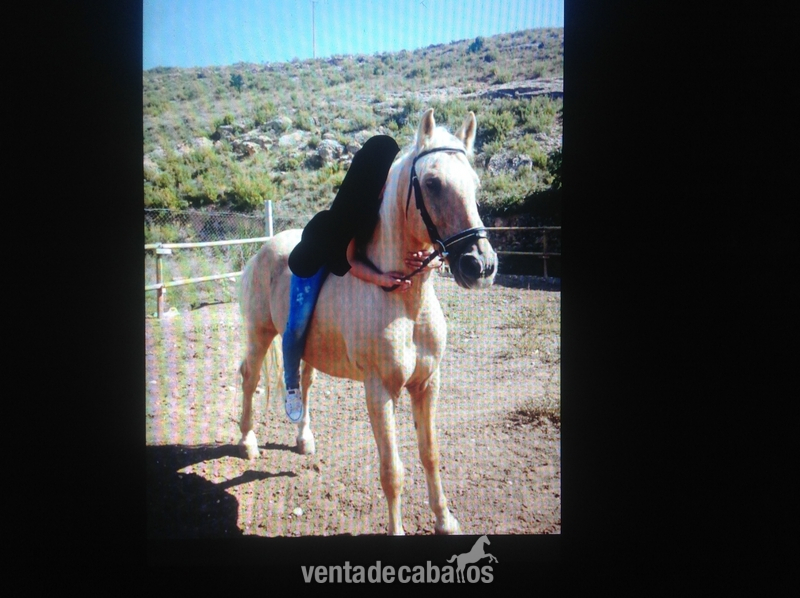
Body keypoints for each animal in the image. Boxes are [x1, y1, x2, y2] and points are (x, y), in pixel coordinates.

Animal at [237, 108, 497, 535]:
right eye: (432, 182)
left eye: (474, 184)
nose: (480, 265)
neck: (406, 303)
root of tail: (265, 248)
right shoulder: (379, 392)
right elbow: (392, 471)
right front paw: (398, 530)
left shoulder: (427, 384)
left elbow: (430, 454)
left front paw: (445, 521)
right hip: (260, 334)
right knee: (249, 377)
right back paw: (247, 442)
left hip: (302, 343)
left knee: (302, 382)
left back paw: (304, 439)